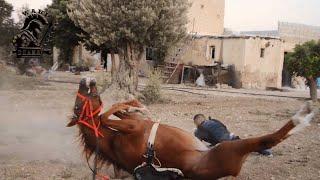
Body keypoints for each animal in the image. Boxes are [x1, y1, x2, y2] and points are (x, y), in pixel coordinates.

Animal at [67, 77, 318, 180]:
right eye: (78, 106)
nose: (84, 82)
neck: (113, 141)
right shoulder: (132, 126)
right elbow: (107, 115)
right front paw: (134, 106)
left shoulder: (130, 124)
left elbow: (118, 111)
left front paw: (136, 105)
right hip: (231, 148)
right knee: (269, 139)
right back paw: (302, 115)